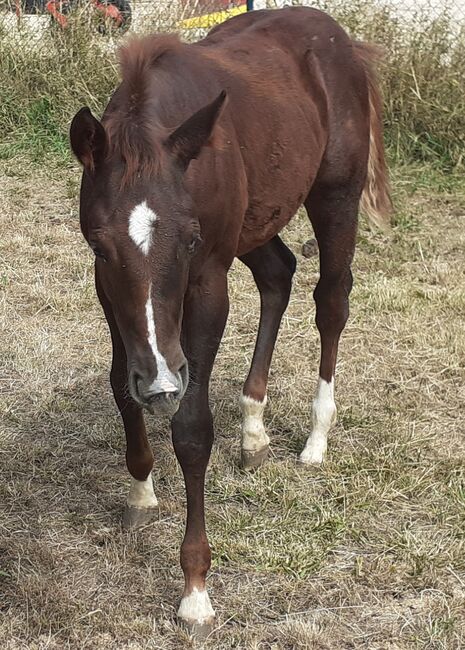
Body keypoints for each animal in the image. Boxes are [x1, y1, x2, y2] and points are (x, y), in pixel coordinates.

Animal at [68, 7, 388, 636]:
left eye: (190, 239)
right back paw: (254, 428)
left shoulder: (208, 279)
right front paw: (141, 494)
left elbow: (192, 431)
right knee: (279, 274)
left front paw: (195, 591)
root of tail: (340, 38)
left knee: (332, 300)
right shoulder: (110, 297)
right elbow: (121, 387)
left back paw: (316, 438)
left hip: (335, 195)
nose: (162, 383)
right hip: (259, 219)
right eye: (99, 245)